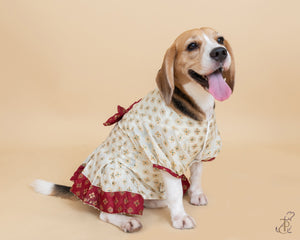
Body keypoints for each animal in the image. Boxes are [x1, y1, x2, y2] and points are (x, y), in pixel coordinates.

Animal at [32, 27, 234, 232]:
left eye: (220, 40)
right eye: (192, 45)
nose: (220, 52)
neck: (197, 104)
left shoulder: (203, 150)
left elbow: (197, 174)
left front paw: (196, 195)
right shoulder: (167, 159)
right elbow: (176, 191)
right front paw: (180, 217)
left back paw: (156, 201)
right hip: (115, 172)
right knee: (105, 213)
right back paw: (127, 221)